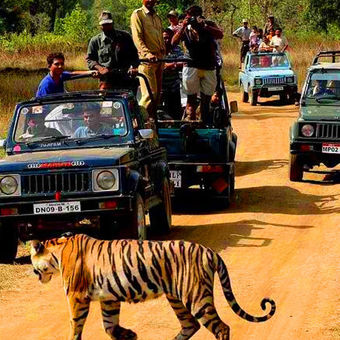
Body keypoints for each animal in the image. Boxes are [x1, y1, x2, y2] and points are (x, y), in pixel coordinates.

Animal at [30, 234, 276, 340]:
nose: (35, 275)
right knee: (190, 326)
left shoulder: (76, 296)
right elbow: (109, 325)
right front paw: (128, 335)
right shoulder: (109, 299)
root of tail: (209, 250)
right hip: (177, 297)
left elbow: (75, 325)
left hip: (196, 297)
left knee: (221, 328)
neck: (57, 251)